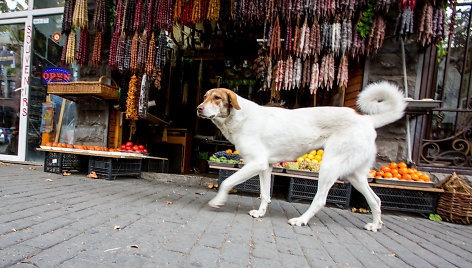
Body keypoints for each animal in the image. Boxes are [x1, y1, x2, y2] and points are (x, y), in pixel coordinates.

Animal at [197, 80, 408, 231]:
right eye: (205, 96)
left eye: (217, 98)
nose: (198, 108)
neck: (238, 118)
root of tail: (367, 119)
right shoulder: (265, 166)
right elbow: (265, 194)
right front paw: (260, 213)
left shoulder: (255, 163)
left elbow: (227, 182)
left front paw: (217, 201)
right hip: (354, 175)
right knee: (375, 200)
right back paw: (375, 225)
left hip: (329, 167)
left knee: (320, 200)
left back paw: (301, 220)